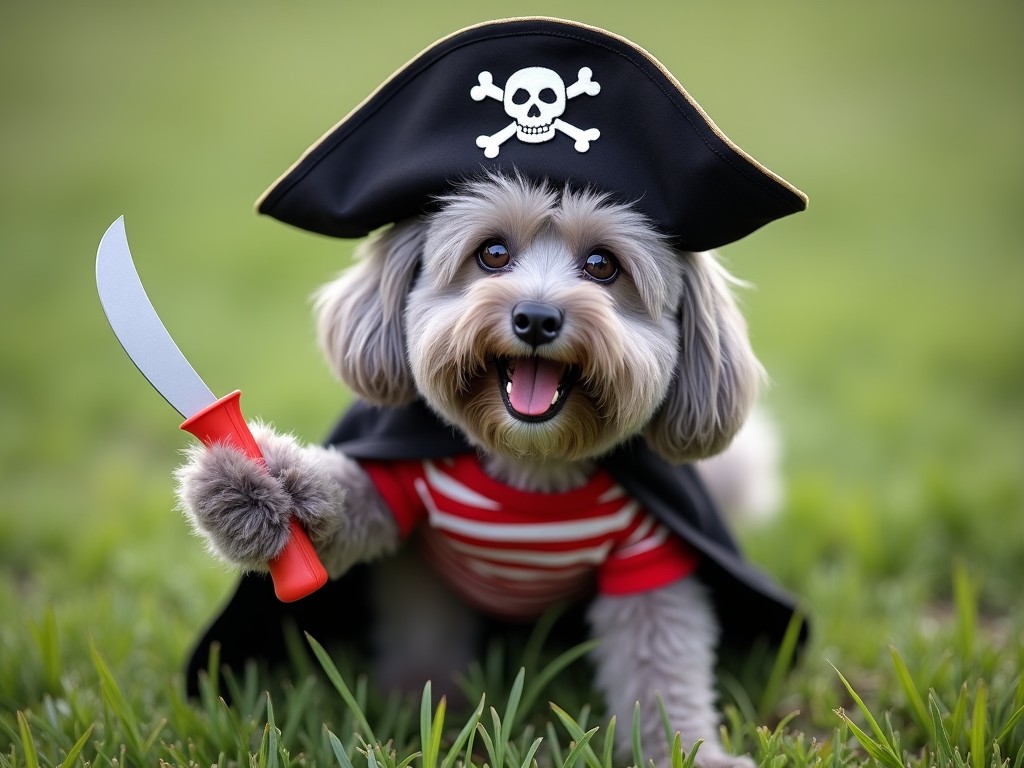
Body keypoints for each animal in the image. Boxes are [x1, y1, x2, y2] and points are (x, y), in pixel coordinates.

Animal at [178, 174, 782, 768]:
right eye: (492, 253)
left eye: (602, 264)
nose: (536, 318)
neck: (532, 463)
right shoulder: (397, 488)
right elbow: (342, 509)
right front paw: (254, 492)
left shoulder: (650, 557)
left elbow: (661, 670)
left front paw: (688, 752)